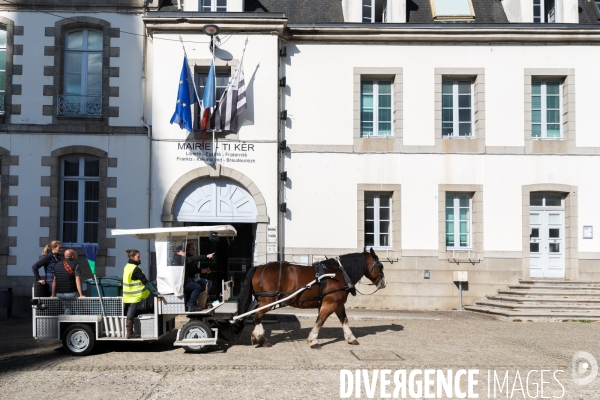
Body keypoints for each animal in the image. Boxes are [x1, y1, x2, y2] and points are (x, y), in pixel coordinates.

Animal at [237, 248, 386, 348]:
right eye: (380, 266)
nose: (384, 283)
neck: (339, 273)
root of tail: (259, 267)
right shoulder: (330, 303)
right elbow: (320, 320)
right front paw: (313, 340)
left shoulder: (338, 304)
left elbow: (344, 320)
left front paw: (351, 338)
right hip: (268, 301)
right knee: (256, 316)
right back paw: (260, 338)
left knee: (256, 316)